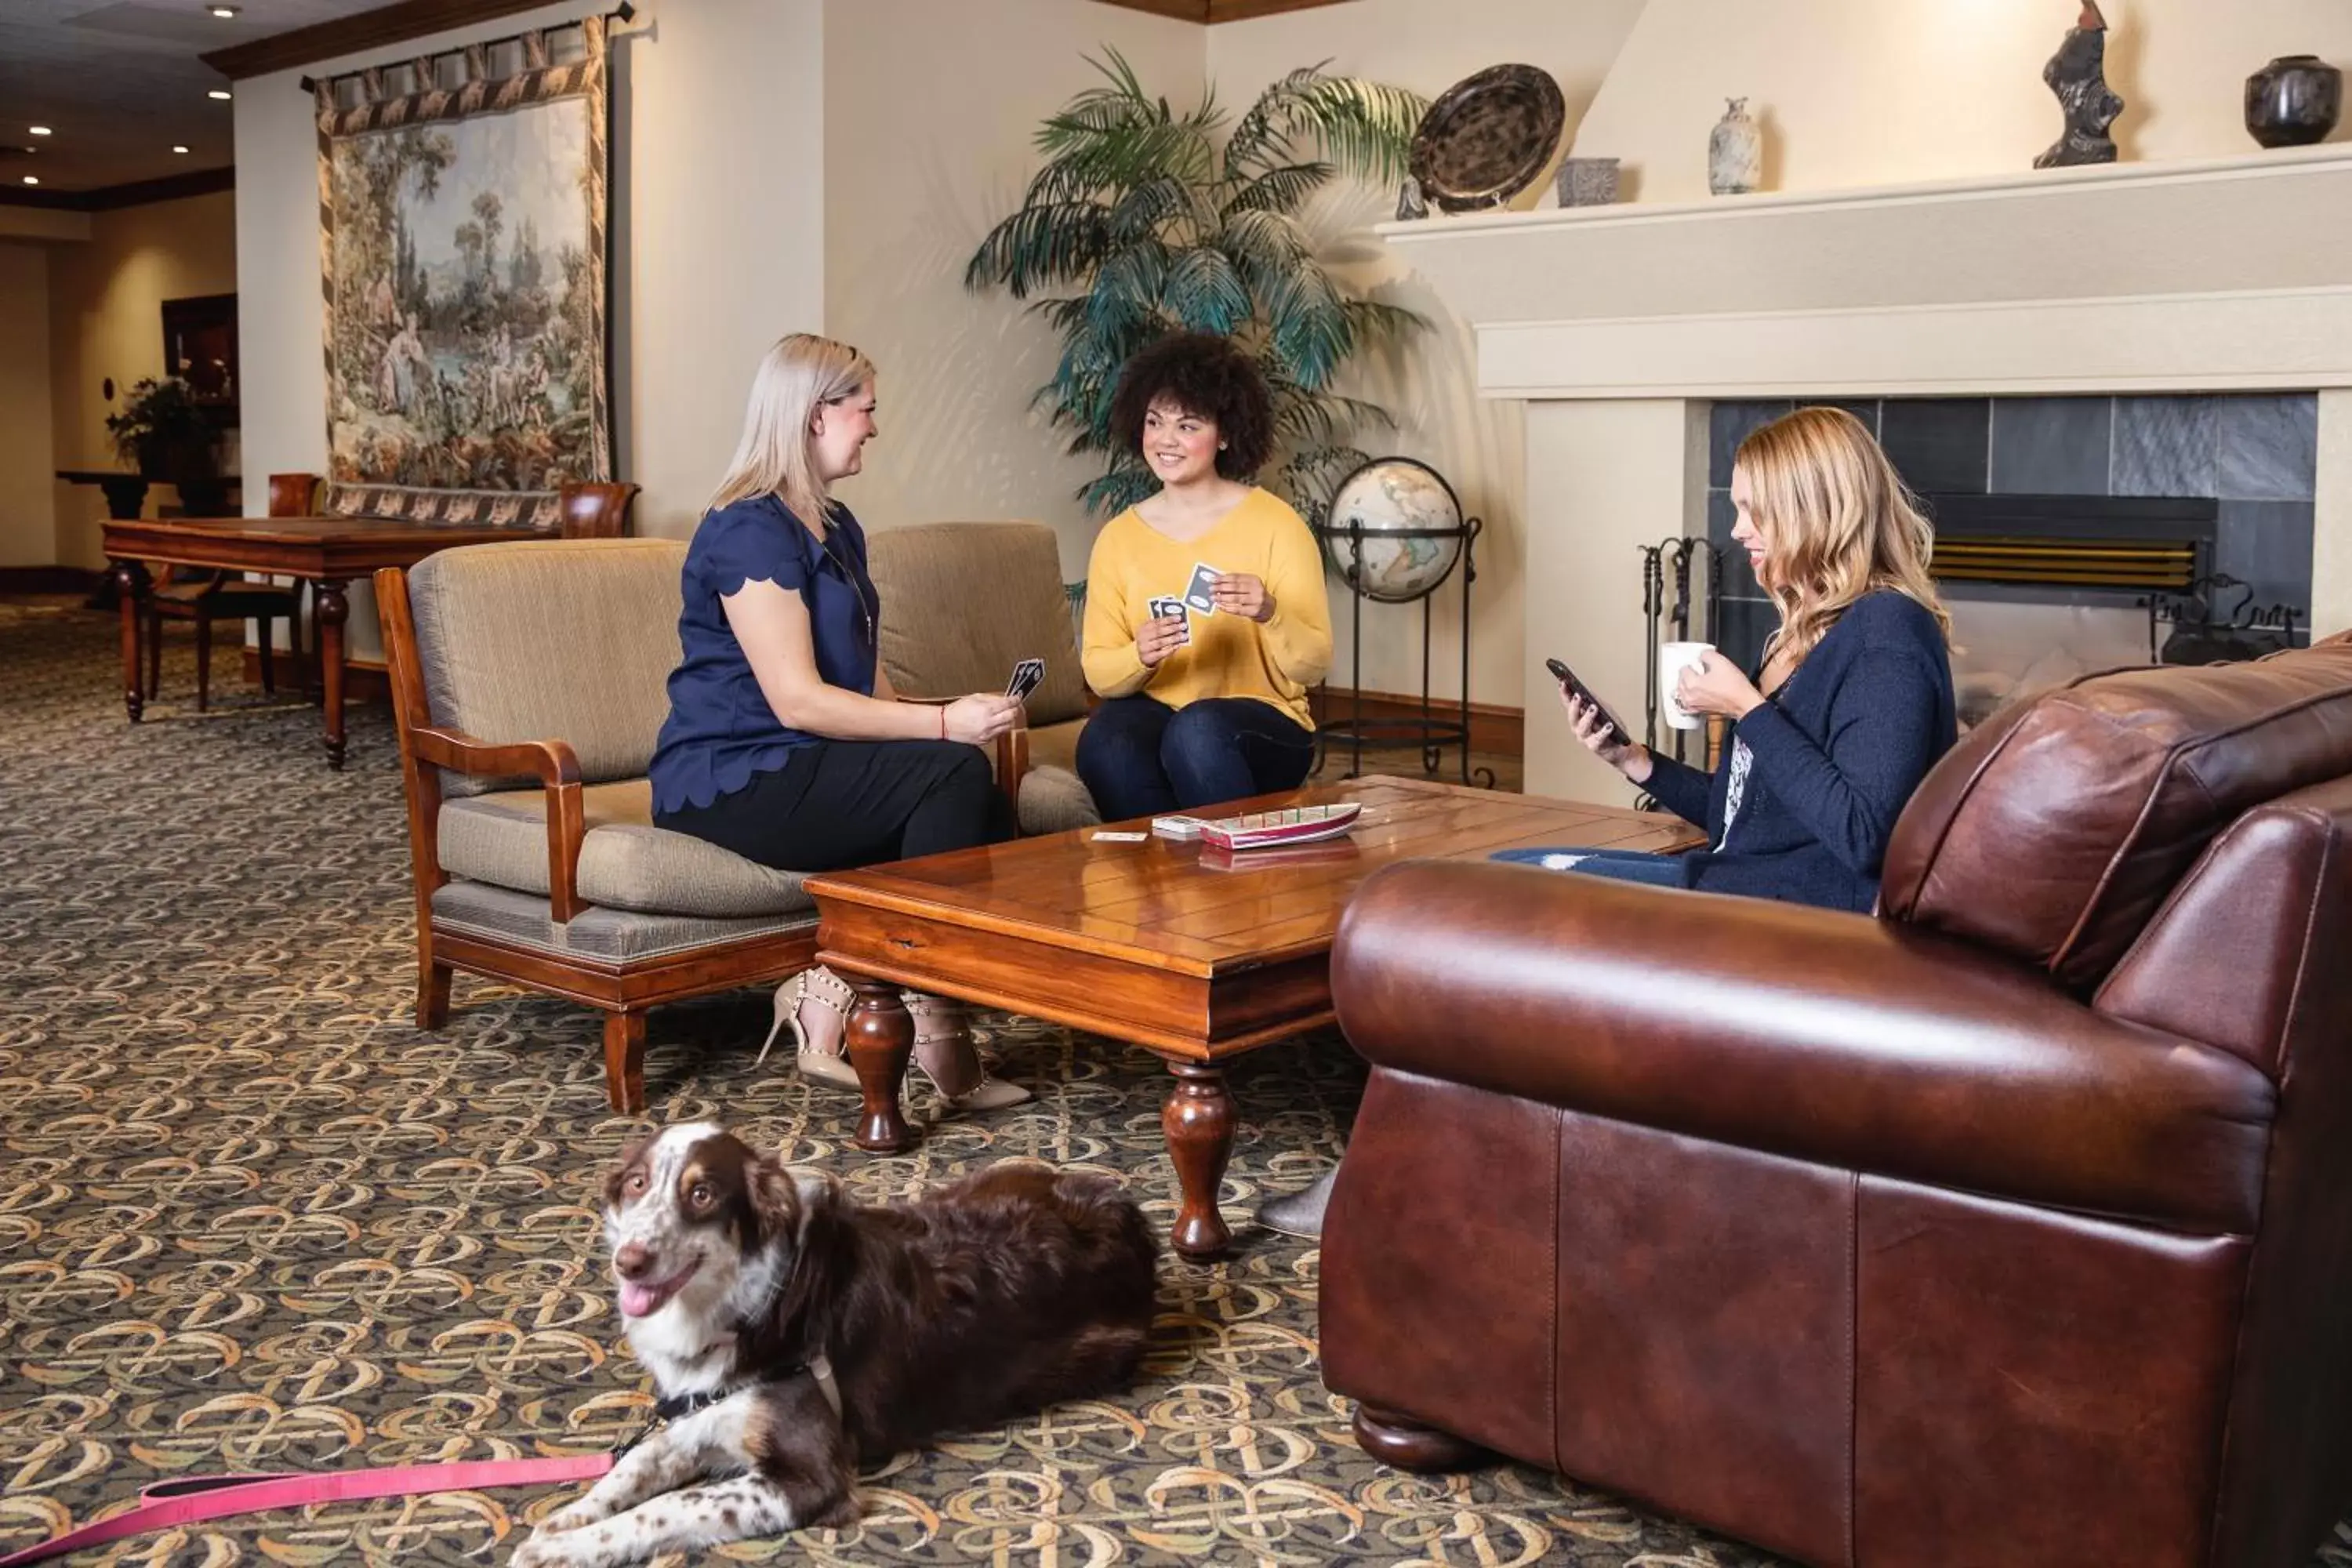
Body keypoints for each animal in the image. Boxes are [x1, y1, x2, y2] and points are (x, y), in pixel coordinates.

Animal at [513, 1128, 1157, 1568]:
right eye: (638, 1184)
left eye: (701, 1194)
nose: (630, 1262)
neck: (751, 1310)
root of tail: (1125, 1207)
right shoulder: (701, 1411)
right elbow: (637, 1464)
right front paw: (566, 1519)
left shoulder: (811, 1478)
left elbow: (671, 1506)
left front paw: (564, 1549)